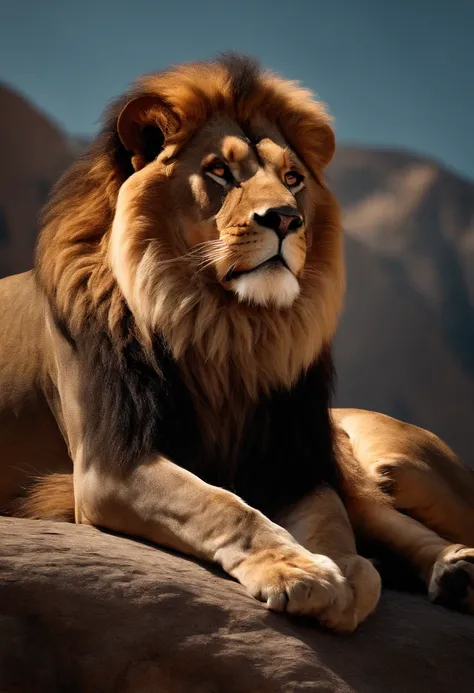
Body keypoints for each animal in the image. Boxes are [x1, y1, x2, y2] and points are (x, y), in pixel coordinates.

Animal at [0, 52, 472, 628]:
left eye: (292, 178)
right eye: (219, 172)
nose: (286, 218)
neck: (228, 330)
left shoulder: (294, 461)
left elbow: (333, 523)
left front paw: (347, 572)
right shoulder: (108, 466)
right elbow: (222, 504)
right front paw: (302, 571)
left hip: (390, 461)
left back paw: (458, 569)